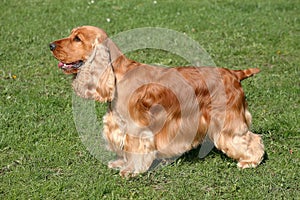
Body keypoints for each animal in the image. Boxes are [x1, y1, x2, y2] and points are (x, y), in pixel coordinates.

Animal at [50, 25, 264, 177]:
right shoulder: (118, 124)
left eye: (77, 38)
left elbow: (136, 149)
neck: (118, 75)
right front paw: (120, 163)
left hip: (227, 120)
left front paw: (130, 171)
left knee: (251, 139)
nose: (51, 45)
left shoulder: (136, 127)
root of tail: (234, 74)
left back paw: (250, 161)